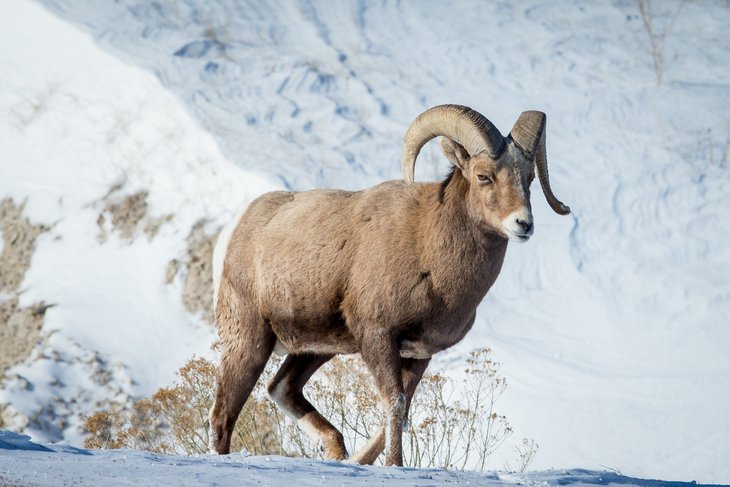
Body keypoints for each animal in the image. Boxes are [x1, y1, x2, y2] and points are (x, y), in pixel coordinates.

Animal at [208, 106, 564, 466]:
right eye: (483, 176)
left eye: (529, 179)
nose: (523, 224)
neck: (429, 252)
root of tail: (238, 227)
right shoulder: (378, 336)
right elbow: (394, 403)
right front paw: (395, 465)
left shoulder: (419, 354)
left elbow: (402, 411)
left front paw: (362, 461)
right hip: (250, 340)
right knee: (223, 414)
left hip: (315, 349)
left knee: (281, 389)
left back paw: (339, 452)